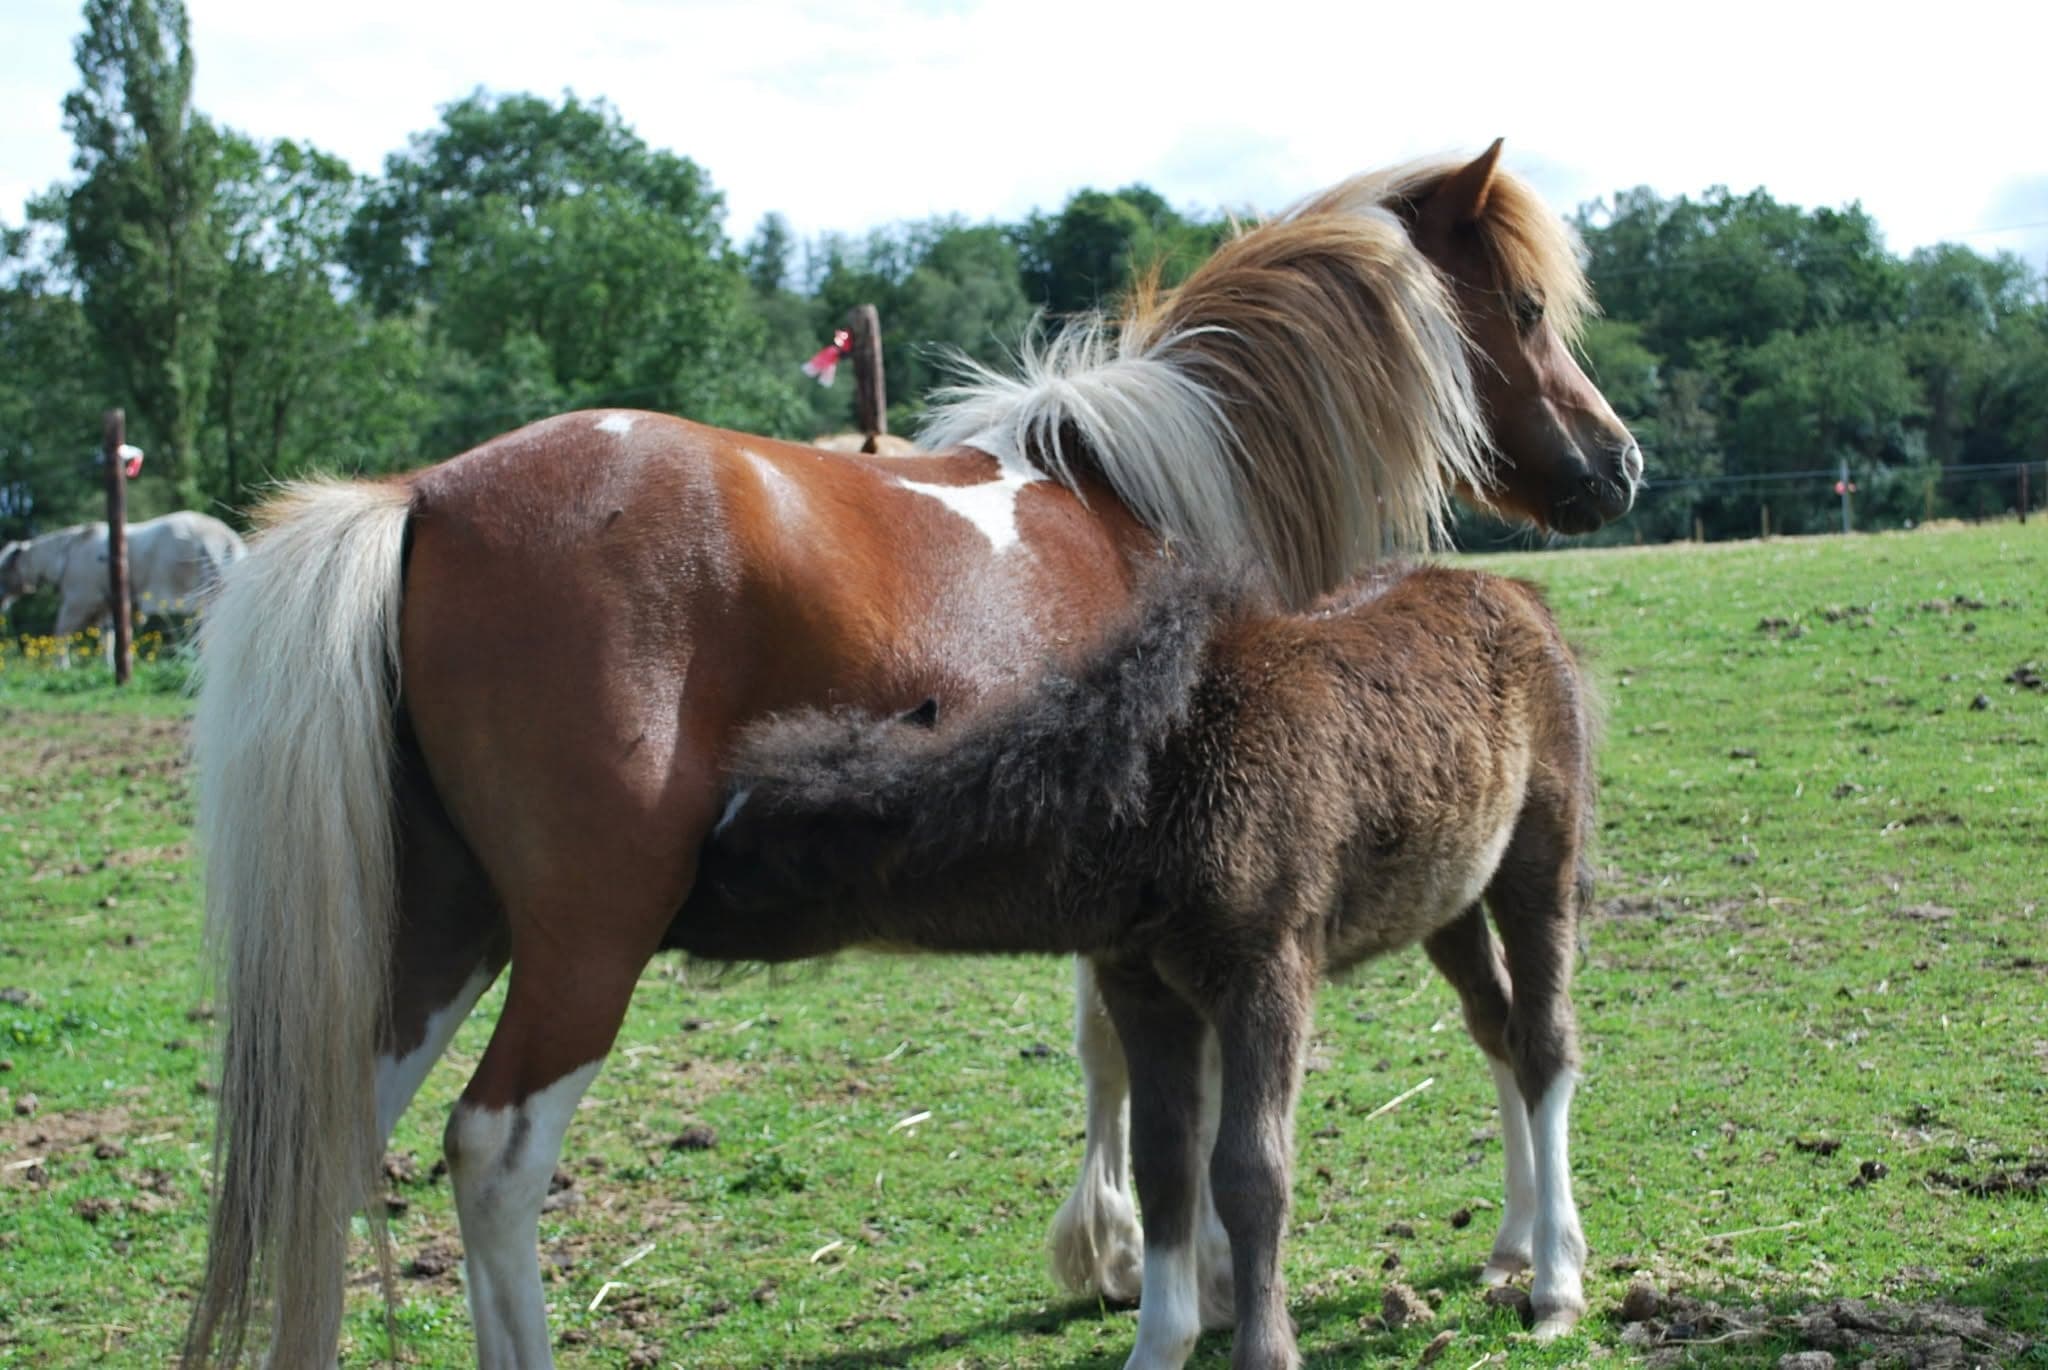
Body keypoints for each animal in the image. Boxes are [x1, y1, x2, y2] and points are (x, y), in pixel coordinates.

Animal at [0, 511, 246, 665]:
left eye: (4, 565)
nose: (2, 601)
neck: (64, 554)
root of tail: (227, 540)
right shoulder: (107, 605)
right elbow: (109, 637)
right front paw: (108, 664)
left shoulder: (79, 599)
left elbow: (61, 631)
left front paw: (62, 666)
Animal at [683, 558, 1600, 1369]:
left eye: (752, 852)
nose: (671, 907)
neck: (1157, 791)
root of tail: (1521, 593)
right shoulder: (1141, 983)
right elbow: (1164, 1165)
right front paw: (1158, 1346)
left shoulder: (1266, 971)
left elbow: (1250, 1171)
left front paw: (1264, 1353)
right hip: (1447, 893)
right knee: (1494, 1024)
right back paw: (1511, 1244)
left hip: (1538, 851)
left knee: (1543, 1041)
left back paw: (1556, 1282)